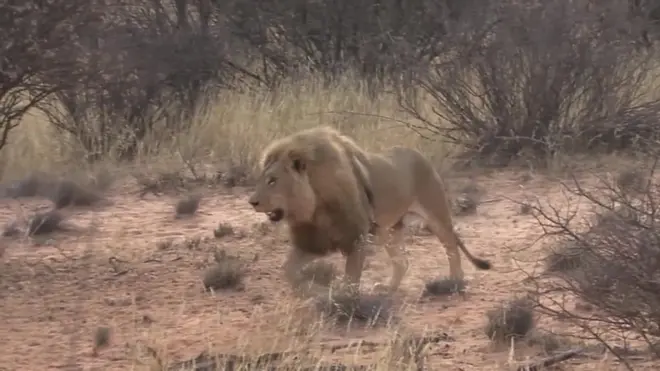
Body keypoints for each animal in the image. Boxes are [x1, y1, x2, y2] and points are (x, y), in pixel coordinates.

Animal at [248, 126, 490, 298]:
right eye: (260, 179)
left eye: (272, 181)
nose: (252, 202)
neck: (313, 207)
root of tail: (419, 154)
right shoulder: (314, 241)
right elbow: (287, 270)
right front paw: (310, 291)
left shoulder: (355, 237)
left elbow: (351, 279)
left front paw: (341, 298)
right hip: (388, 230)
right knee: (402, 262)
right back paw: (389, 287)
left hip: (435, 213)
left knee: (451, 246)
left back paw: (455, 280)